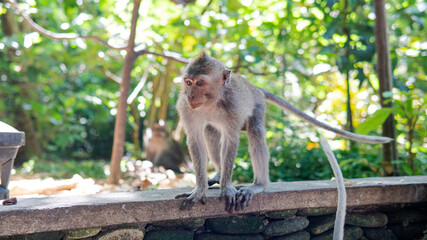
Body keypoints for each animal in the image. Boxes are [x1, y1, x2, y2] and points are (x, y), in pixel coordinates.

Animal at [176, 50, 392, 212]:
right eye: (188, 82)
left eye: (200, 83)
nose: (191, 95)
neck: (213, 100)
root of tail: (254, 87)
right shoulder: (186, 108)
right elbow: (195, 140)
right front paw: (200, 190)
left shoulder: (232, 106)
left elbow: (231, 140)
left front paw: (227, 188)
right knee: (210, 131)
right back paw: (220, 173)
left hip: (258, 106)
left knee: (255, 131)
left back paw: (258, 185)